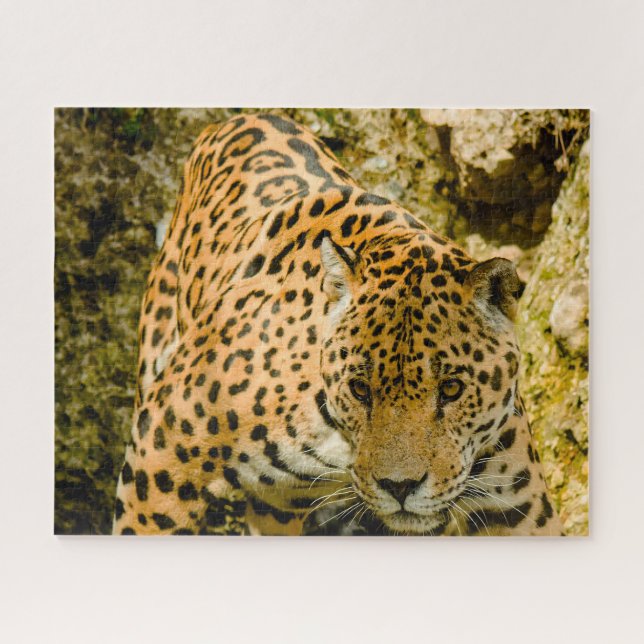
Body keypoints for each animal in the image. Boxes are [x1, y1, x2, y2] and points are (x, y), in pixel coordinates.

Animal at [113, 112, 563, 536]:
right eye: (360, 389)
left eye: (452, 389)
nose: (399, 486)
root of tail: (233, 118)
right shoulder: (160, 451)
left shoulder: (517, 505)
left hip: (276, 508)